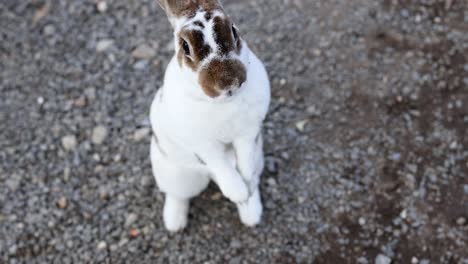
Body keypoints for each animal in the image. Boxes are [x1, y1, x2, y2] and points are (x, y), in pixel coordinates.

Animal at [148, 0, 268, 231]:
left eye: (233, 30)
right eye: (185, 47)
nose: (229, 83)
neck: (222, 103)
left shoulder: (248, 135)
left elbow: (245, 164)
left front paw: (245, 191)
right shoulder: (202, 145)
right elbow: (220, 164)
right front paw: (238, 193)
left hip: (260, 157)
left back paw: (252, 215)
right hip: (174, 173)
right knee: (177, 195)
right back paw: (174, 223)